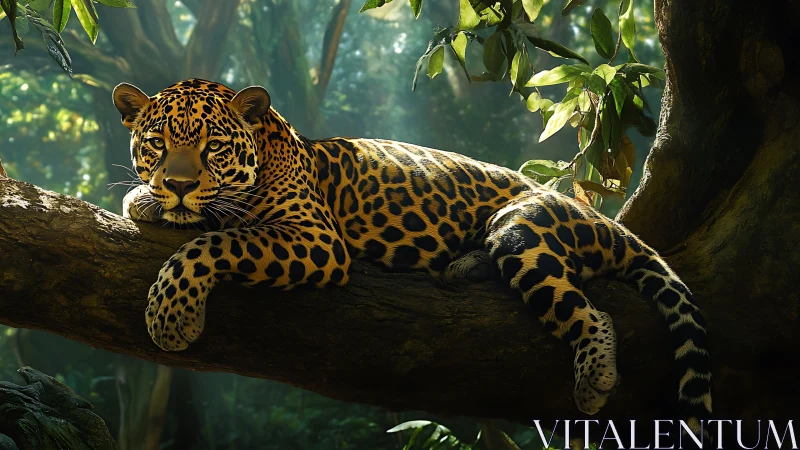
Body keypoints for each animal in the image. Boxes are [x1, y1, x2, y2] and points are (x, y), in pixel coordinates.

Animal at [113, 78, 712, 438]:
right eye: (156, 143)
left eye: (213, 146)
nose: (179, 185)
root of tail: (601, 218)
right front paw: (148, 198)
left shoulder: (315, 237)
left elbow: (215, 241)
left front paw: (171, 315)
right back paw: (463, 265)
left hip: (522, 226)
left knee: (592, 309)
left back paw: (594, 375)